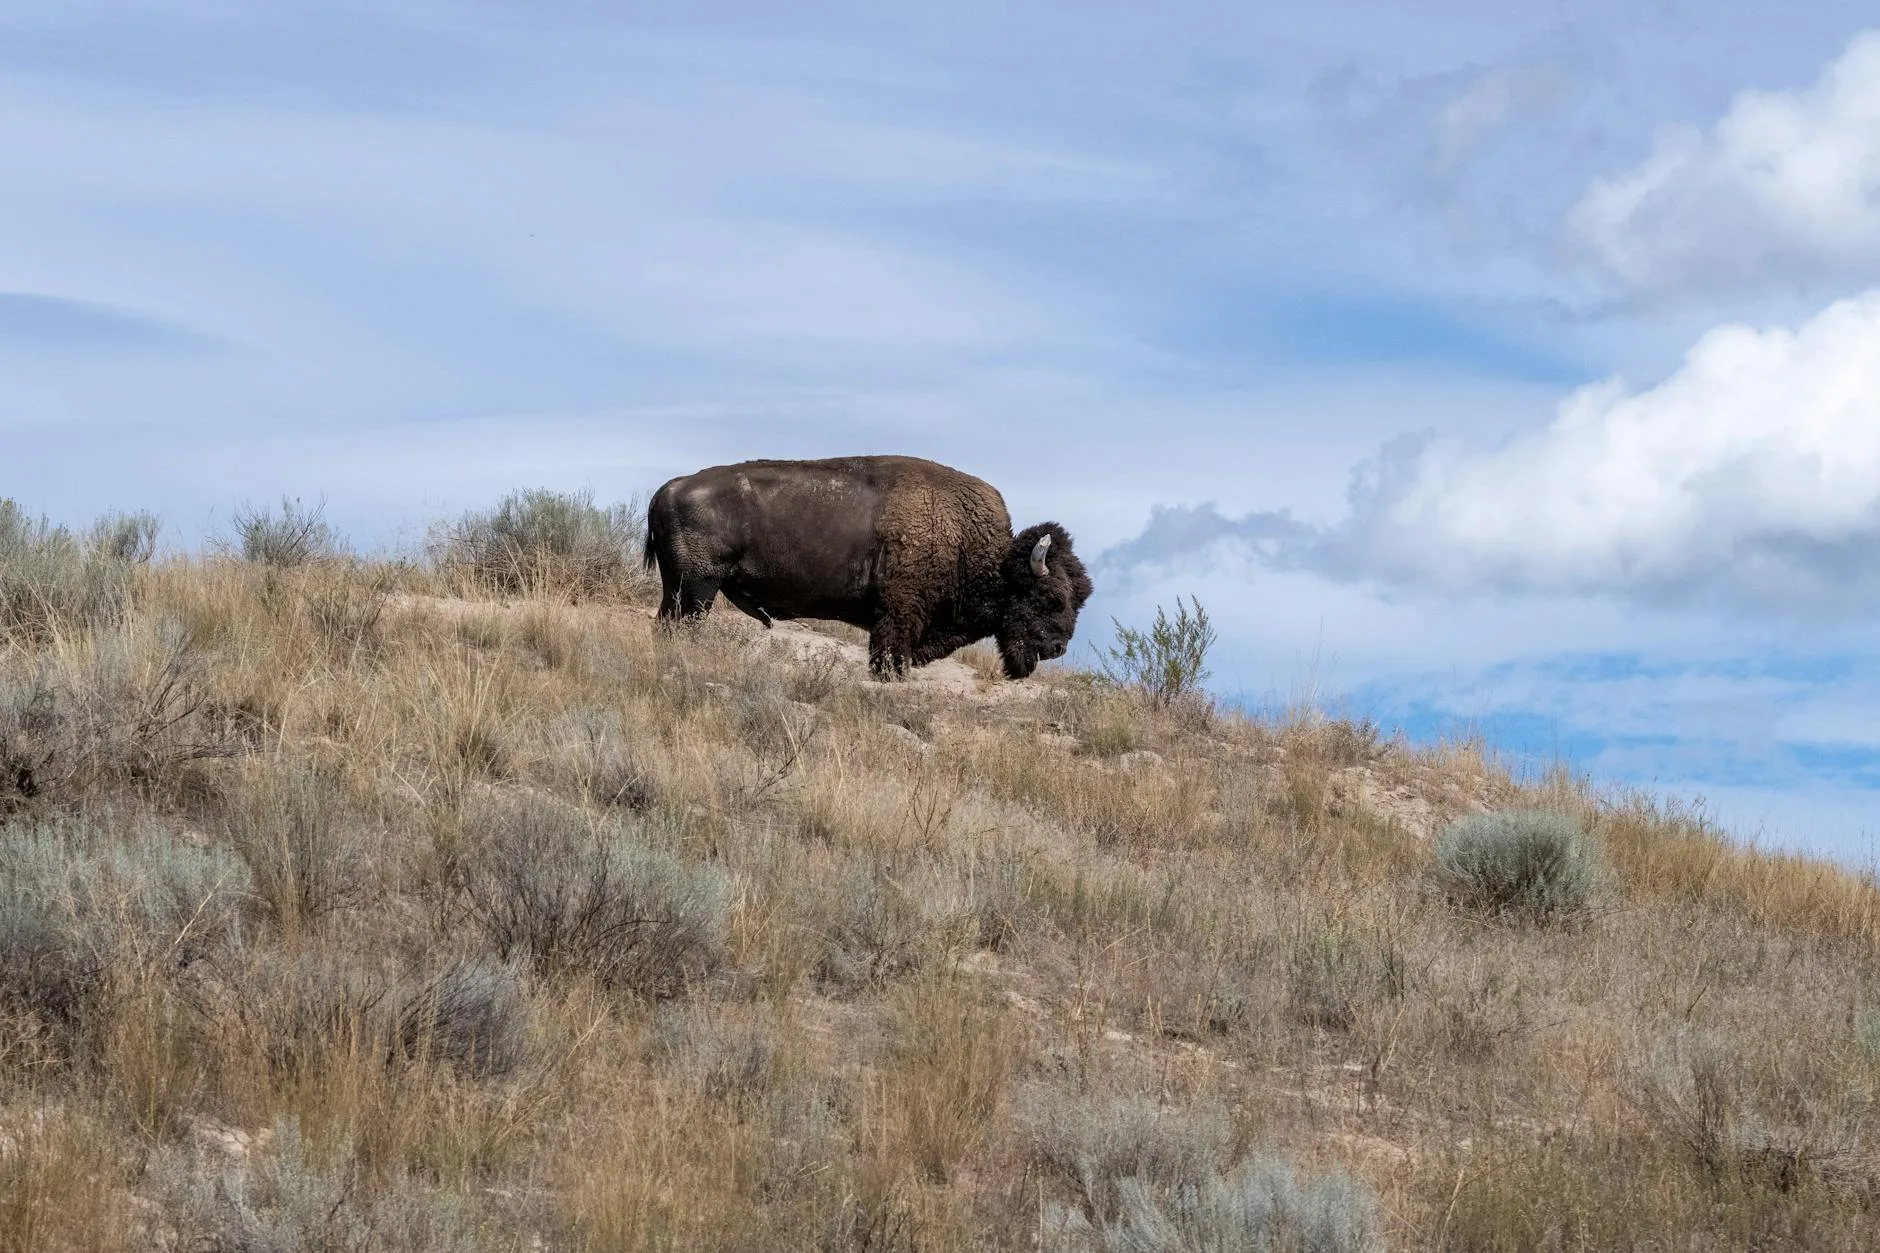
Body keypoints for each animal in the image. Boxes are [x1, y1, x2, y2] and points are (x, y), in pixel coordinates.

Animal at [643, 455, 1092, 679]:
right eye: (1051, 598)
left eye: (1080, 599)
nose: (1058, 647)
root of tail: (667, 488)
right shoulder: (898, 618)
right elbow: (889, 660)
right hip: (697, 589)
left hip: (680, 590)